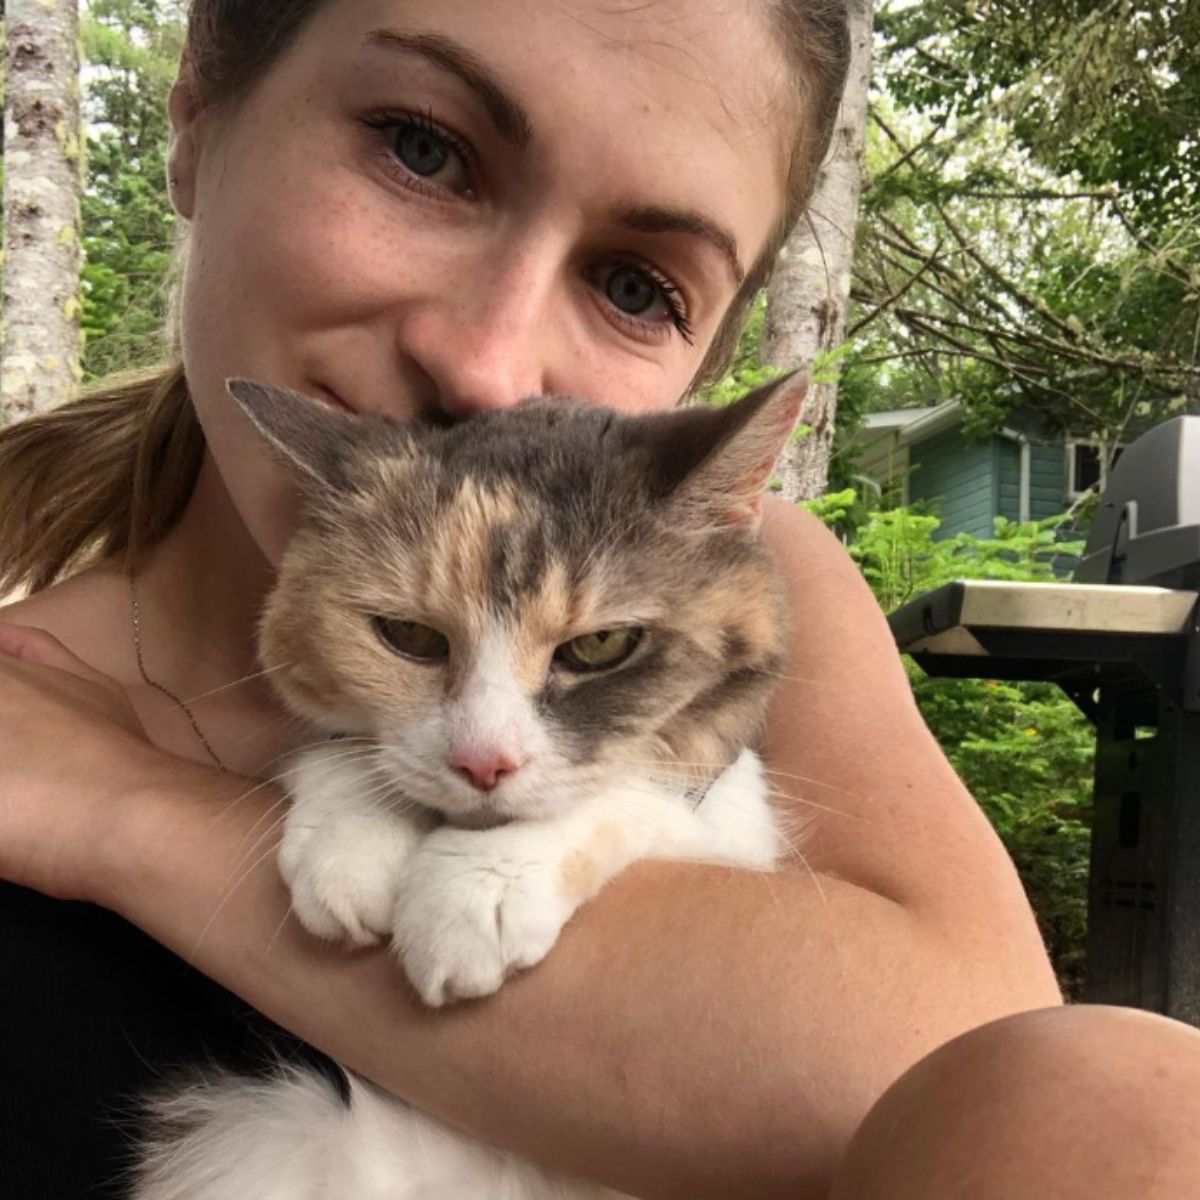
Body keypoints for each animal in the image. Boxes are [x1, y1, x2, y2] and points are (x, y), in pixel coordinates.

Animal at [131, 374, 801, 1200]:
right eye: (410, 636)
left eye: (600, 645)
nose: (484, 763)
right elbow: (347, 752)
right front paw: (350, 848)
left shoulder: (735, 824)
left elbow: (631, 792)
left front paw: (474, 891)